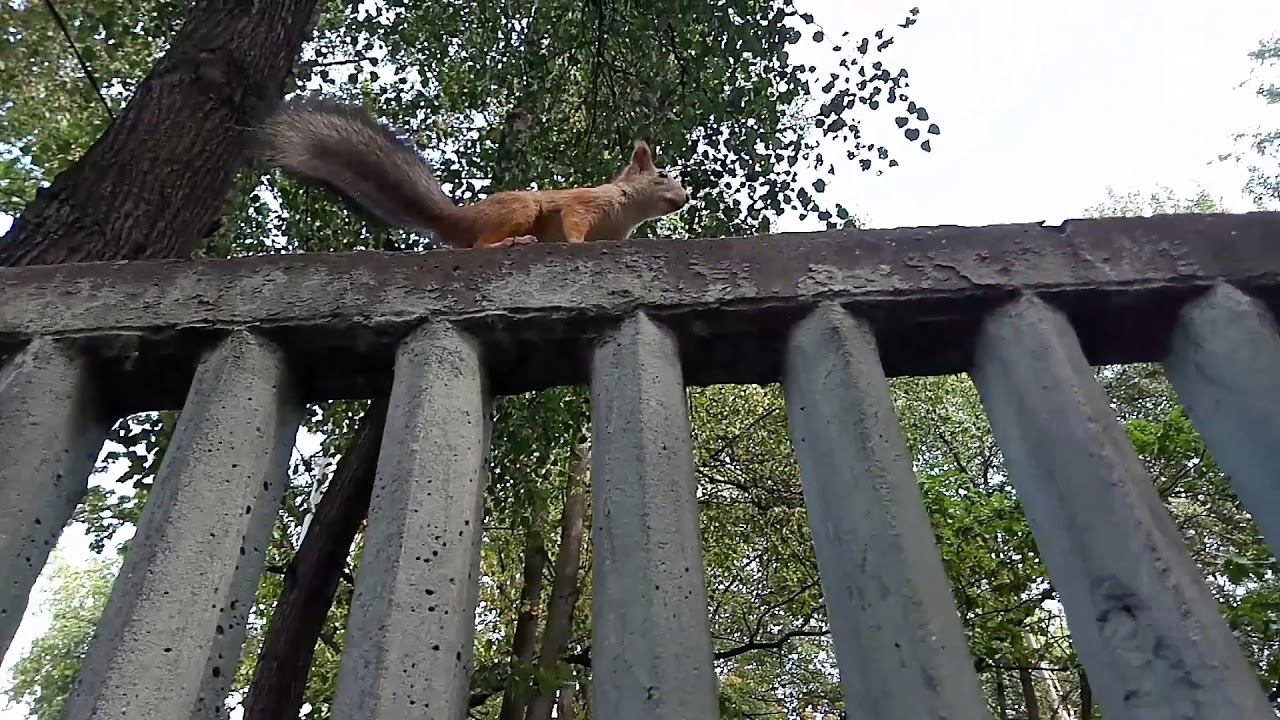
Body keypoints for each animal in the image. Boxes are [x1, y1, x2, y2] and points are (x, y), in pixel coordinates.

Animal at [253, 97, 689, 249]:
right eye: (662, 175)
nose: (684, 199)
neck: (629, 209)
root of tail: (462, 218)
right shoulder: (584, 203)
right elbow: (573, 222)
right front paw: (577, 244)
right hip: (519, 210)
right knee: (482, 244)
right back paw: (510, 243)